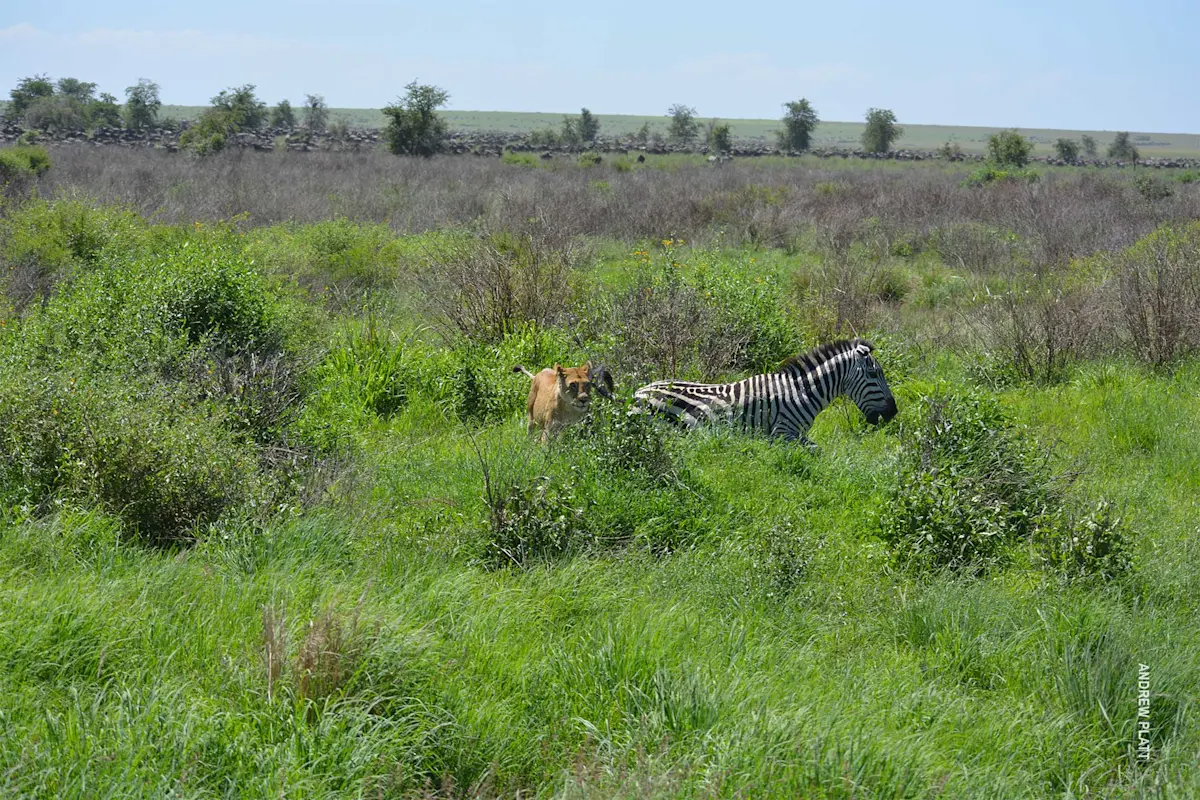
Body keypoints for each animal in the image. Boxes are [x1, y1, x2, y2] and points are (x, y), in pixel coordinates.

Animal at [632, 338, 897, 447]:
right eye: (874, 374)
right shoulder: (783, 433)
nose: (893, 412)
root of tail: (638, 392)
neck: (802, 392)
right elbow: (816, 452)